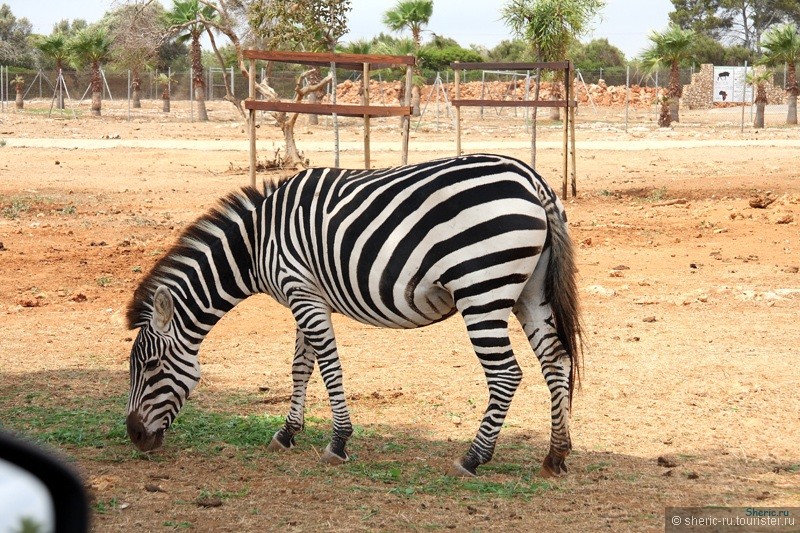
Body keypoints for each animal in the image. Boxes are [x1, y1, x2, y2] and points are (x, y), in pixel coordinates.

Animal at [123, 152, 580, 476]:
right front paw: (286, 433)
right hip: (530, 292)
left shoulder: (301, 290)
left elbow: (329, 366)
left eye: (151, 366)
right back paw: (556, 454)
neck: (255, 244)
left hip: (481, 290)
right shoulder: (307, 294)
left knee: (506, 374)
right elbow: (300, 366)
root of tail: (531, 178)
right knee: (557, 361)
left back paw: (473, 457)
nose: (134, 436)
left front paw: (338, 442)